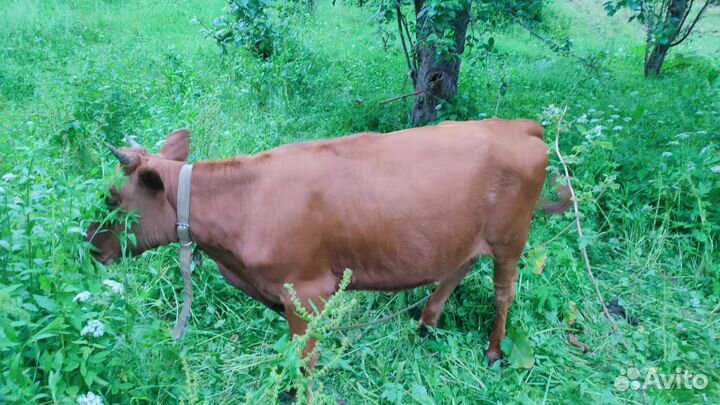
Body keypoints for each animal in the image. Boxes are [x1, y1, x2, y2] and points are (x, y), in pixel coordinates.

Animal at [86, 119, 570, 375]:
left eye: (111, 198)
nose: (91, 248)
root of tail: (520, 126)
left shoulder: (307, 293)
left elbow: (305, 362)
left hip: (511, 238)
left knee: (504, 291)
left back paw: (493, 350)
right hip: (467, 235)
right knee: (457, 267)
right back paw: (426, 323)